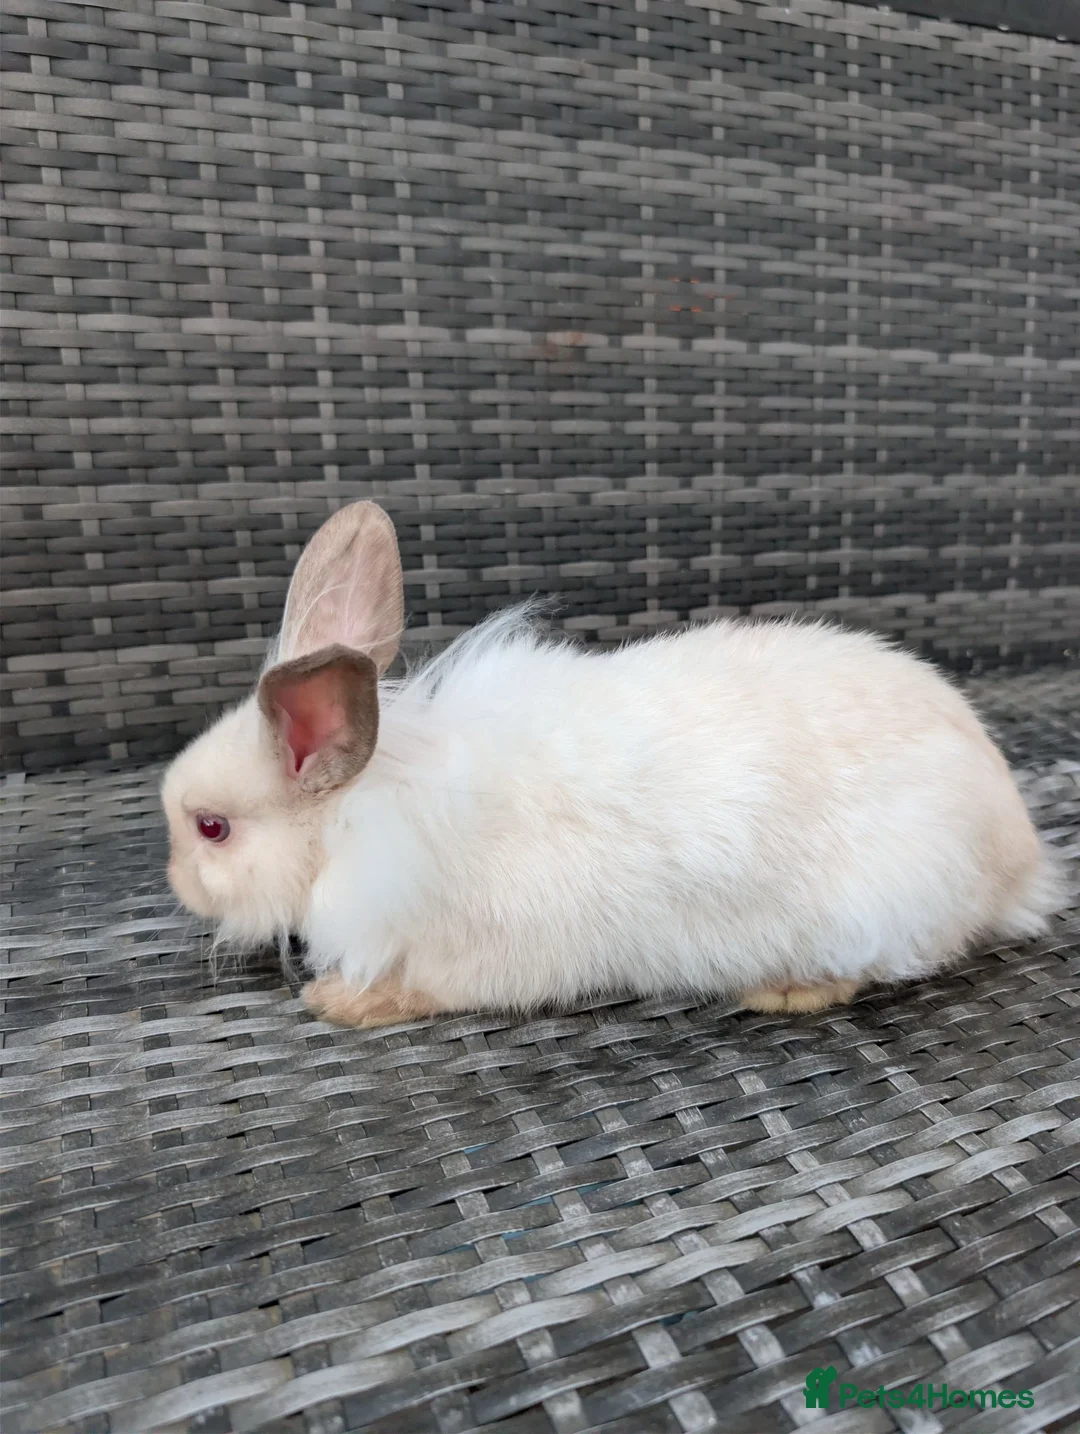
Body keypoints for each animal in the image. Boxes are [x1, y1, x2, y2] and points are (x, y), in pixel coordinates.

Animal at [162, 500, 1062, 1027]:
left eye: (211, 829)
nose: (176, 884)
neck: (361, 815)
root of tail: (1018, 853)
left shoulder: (467, 956)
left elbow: (419, 989)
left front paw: (340, 1002)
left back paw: (786, 989)